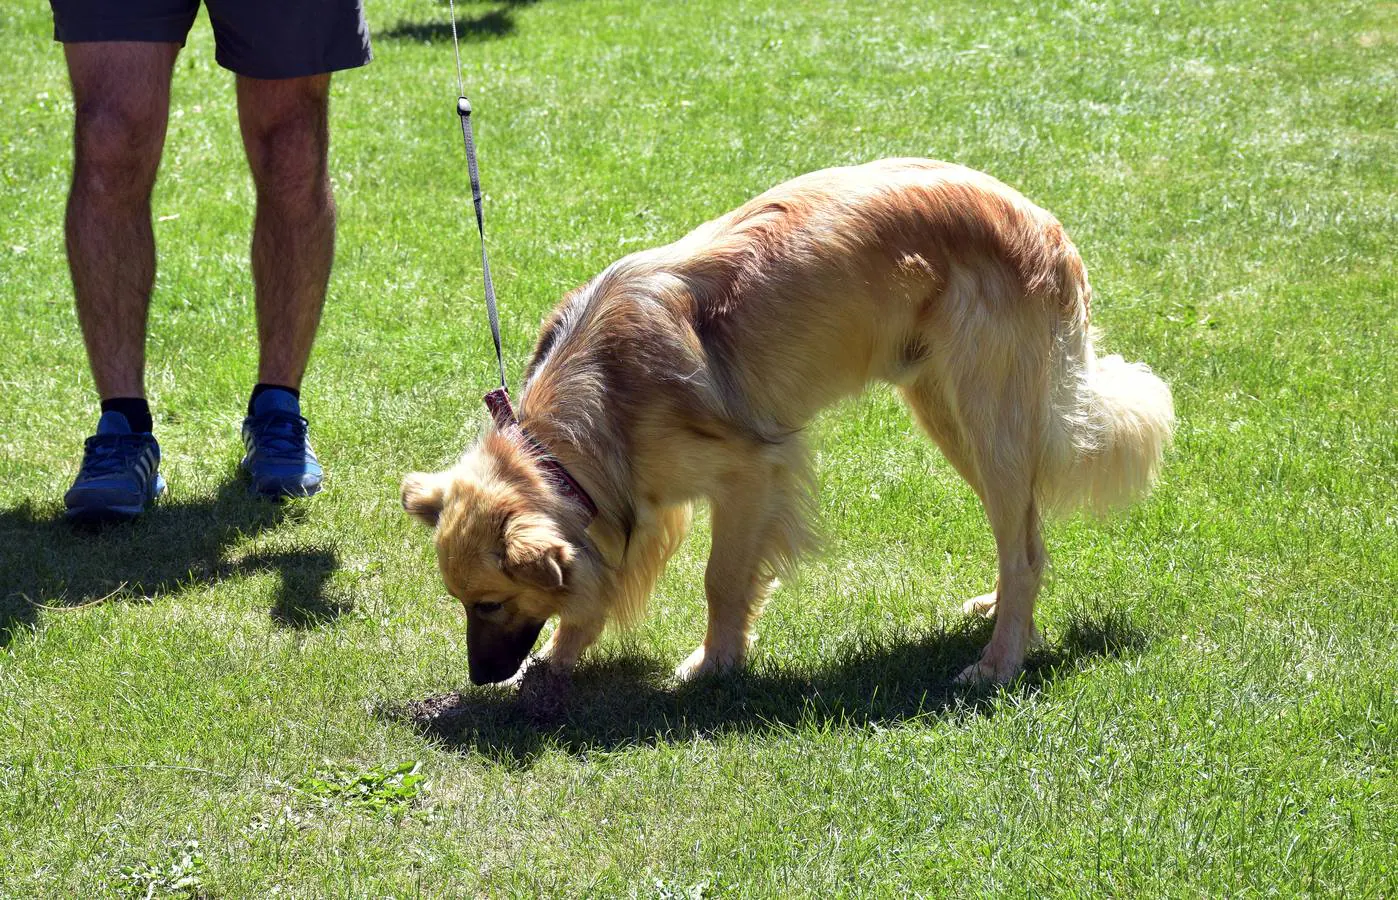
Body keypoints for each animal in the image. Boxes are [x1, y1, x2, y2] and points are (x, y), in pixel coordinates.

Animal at [399, 157, 1174, 684]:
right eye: (461, 601)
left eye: (489, 603)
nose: (480, 679)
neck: (564, 439)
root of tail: (1045, 227)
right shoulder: (641, 500)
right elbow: (606, 581)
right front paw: (563, 656)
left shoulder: (749, 472)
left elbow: (721, 578)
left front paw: (713, 664)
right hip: (948, 413)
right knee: (1026, 539)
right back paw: (1000, 613)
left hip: (991, 419)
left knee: (1024, 550)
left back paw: (999, 662)